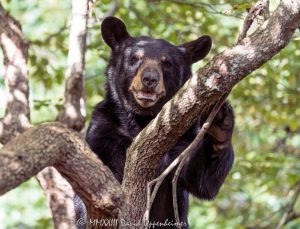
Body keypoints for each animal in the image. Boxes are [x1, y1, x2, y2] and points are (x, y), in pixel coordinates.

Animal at [85, 16, 236, 227]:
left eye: (167, 63)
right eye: (135, 58)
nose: (149, 79)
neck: (142, 121)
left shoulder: (183, 137)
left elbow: (201, 180)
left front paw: (219, 125)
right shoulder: (105, 127)